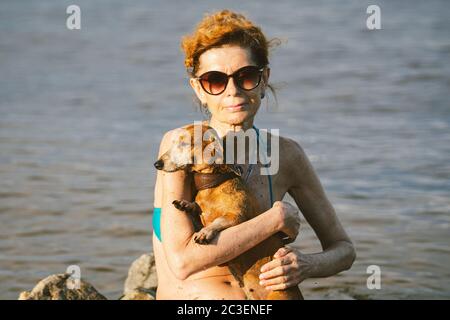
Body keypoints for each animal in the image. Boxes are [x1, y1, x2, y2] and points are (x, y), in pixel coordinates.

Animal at [154, 123, 302, 300]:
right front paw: (186, 204)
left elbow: (219, 221)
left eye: (183, 144)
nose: (157, 164)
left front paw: (205, 232)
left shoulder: (238, 216)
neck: (214, 185)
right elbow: (196, 208)